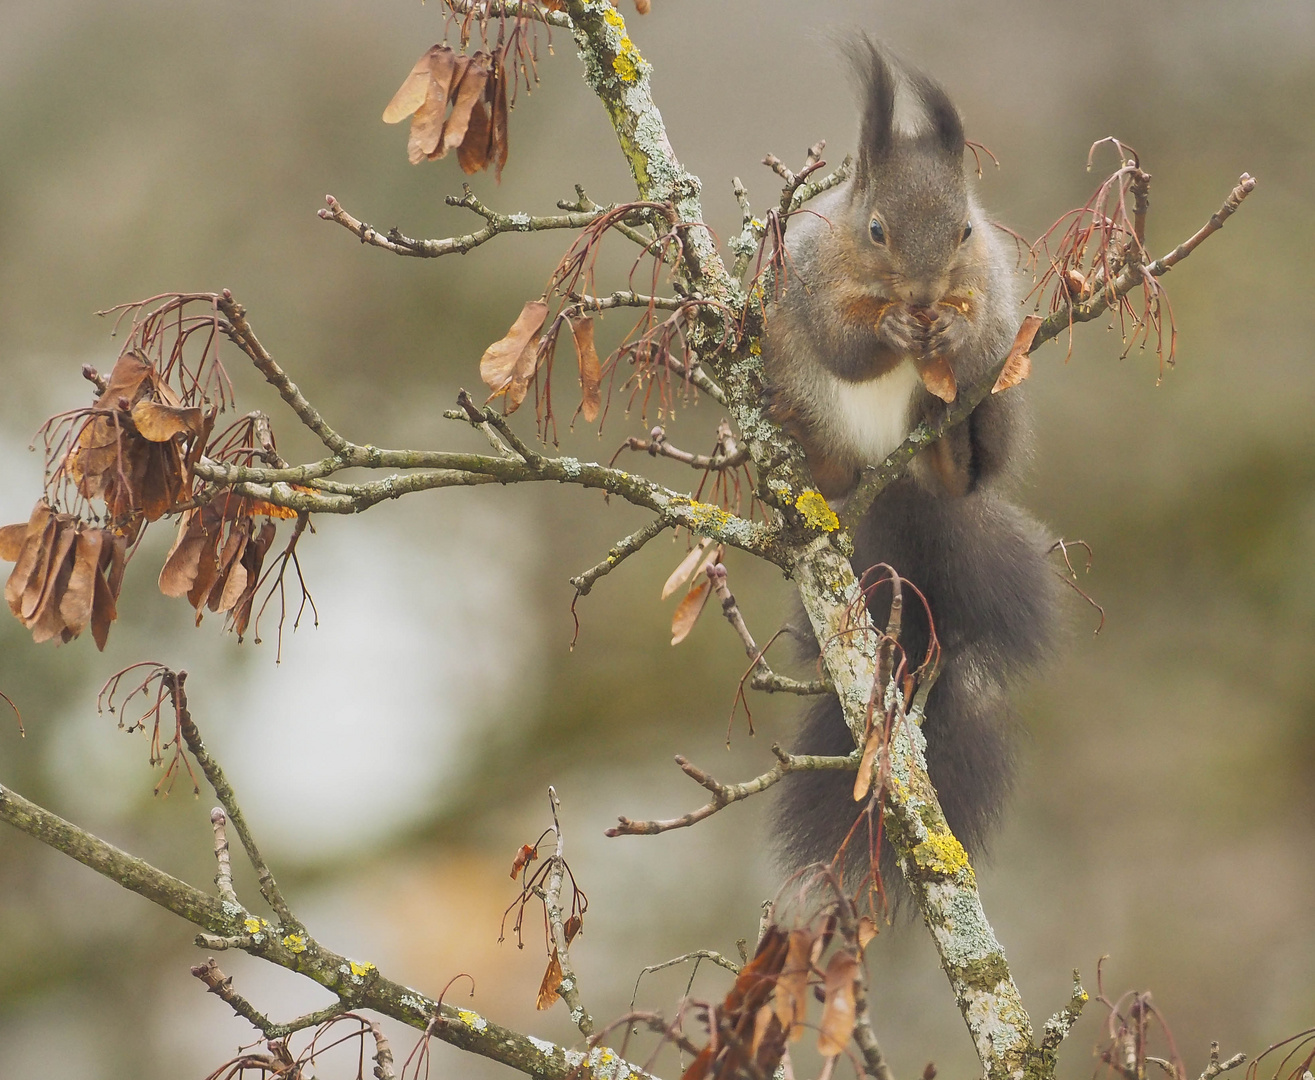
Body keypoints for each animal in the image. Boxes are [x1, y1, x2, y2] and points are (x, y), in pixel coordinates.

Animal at [767, 37, 1062, 899]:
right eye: (873, 229)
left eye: (964, 229)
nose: (928, 293)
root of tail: (889, 479)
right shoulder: (810, 280)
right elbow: (842, 344)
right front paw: (888, 330)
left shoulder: (990, 290)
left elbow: (982, 330)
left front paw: (950, 336)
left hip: (982, 421)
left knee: (967, 459)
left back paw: (955, 449)